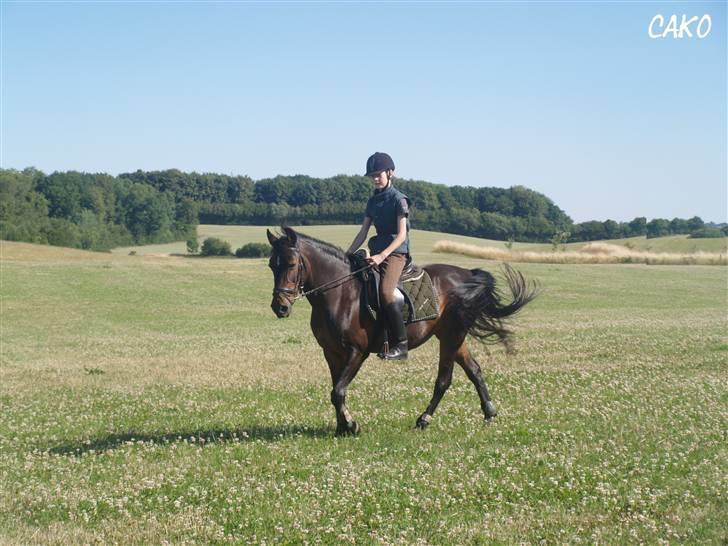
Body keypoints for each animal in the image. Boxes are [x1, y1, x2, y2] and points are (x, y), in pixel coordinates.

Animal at [266, 225, 536, 434]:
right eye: (271, 265)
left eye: (291, 263)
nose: (280, 307)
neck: (341, 294)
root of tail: (466, 274)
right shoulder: (331, 352)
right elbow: (335, 391)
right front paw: (342, 426)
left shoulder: (356, 351)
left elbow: (338, 391)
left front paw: (351, 425)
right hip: (453, 336)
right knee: (474, 370)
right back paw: (489, 413)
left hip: (452, 336)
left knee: (444, 379)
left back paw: (424, 419)